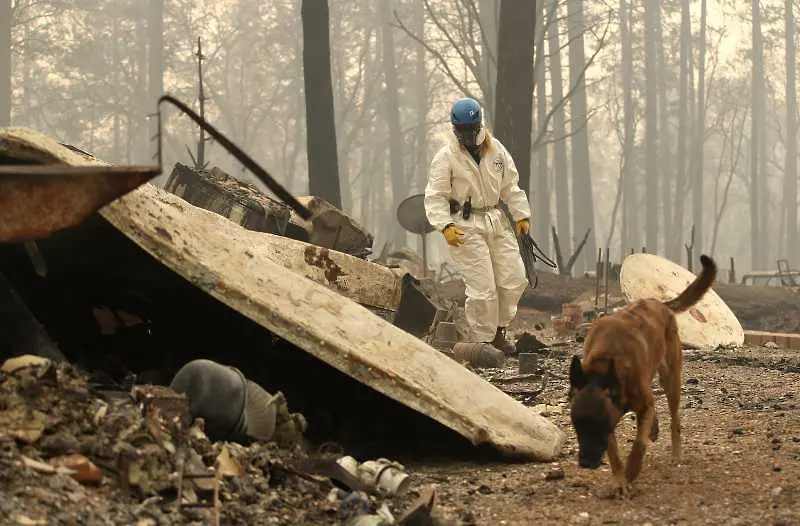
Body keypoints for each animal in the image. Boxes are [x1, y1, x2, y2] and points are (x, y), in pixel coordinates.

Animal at [568, 256, 720, 500]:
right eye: (577, 425)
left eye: (599, 425)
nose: (586, 463)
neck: (603, 366)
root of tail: (660, 304)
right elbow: (614, 454)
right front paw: (621, 480)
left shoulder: (631, 409)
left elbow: (639, 443)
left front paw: (631, 471)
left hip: (671, 380)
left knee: (674, 420)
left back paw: (676, 453)